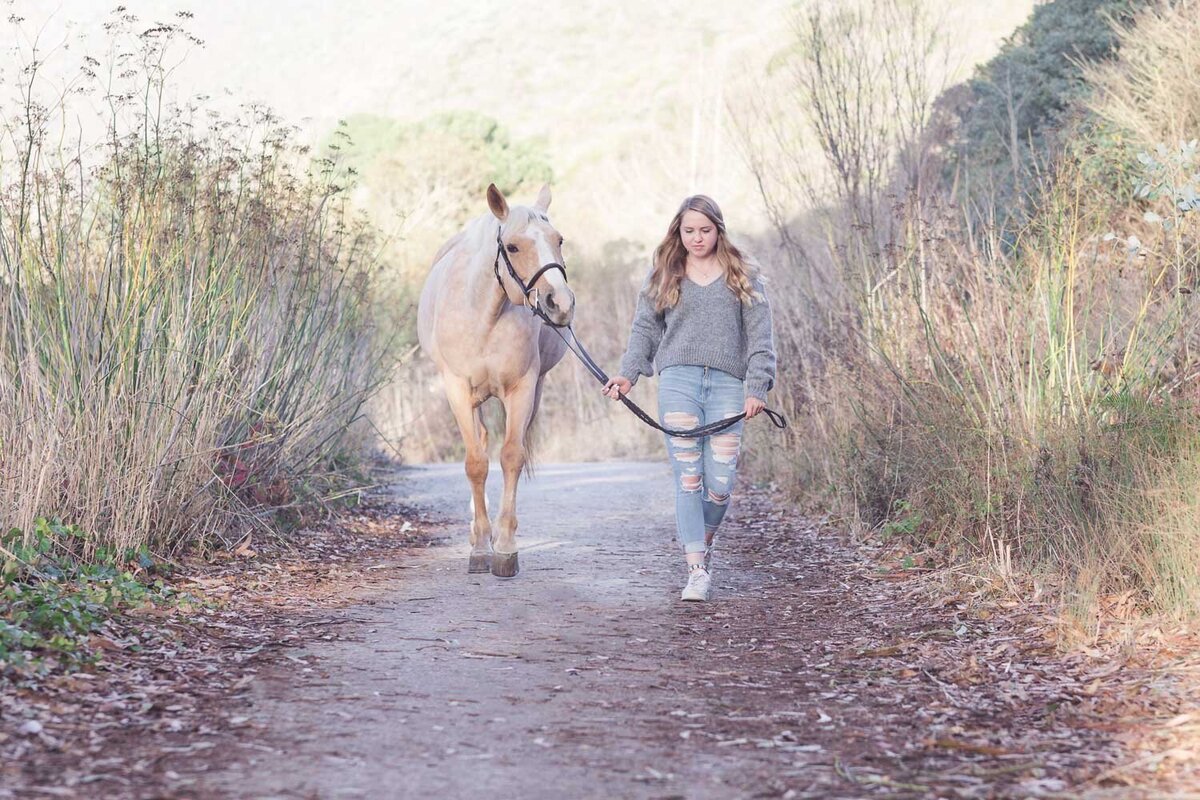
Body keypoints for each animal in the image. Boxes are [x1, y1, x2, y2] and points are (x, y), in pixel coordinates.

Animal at [417, 184, 576, 578]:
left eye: (559, 239)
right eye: (514, 247)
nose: (560, 303)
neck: (484, 316)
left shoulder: (523, 388)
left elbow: (511, 457)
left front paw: (504, 548)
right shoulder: (457, 389)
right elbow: (475, 464)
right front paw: (480, 549)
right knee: (479, 444)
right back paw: (478, 533)